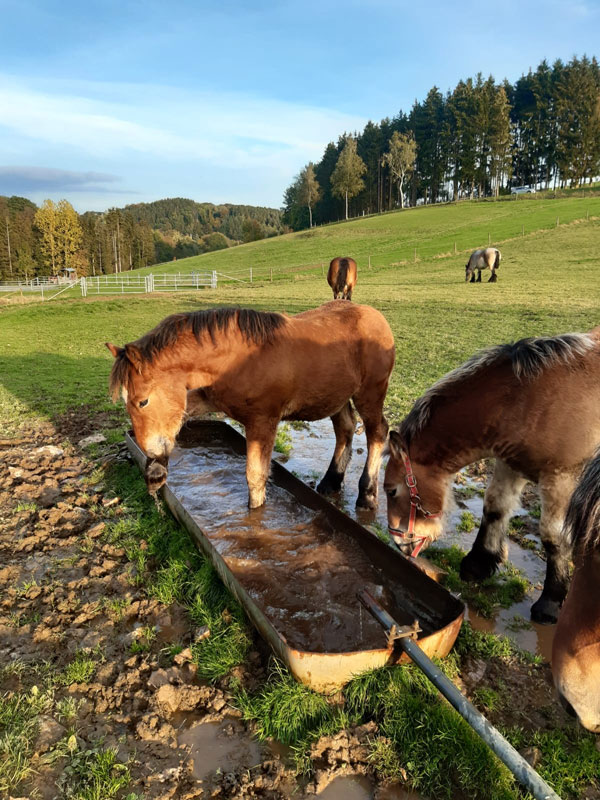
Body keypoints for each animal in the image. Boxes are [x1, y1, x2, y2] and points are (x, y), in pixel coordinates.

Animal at [108, 300, 394, 512]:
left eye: (143, 401)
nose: (152, 451)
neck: (237, 360)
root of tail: (376, 317)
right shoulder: (207, 399)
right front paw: (156, 469)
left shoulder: (263, 421)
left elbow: (255, 477)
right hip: (337, 397)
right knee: (345, 429)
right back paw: (330, 482)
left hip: (370, 394)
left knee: (377, 432)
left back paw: (367, 495)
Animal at [384, 328, 600, 620]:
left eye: (391, 490)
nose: (399, 544)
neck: (529, 397)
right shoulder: (510, 465)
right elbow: (494, 509)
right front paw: (478, 564)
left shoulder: (561, 478)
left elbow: (553, 536)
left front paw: (550, 601)